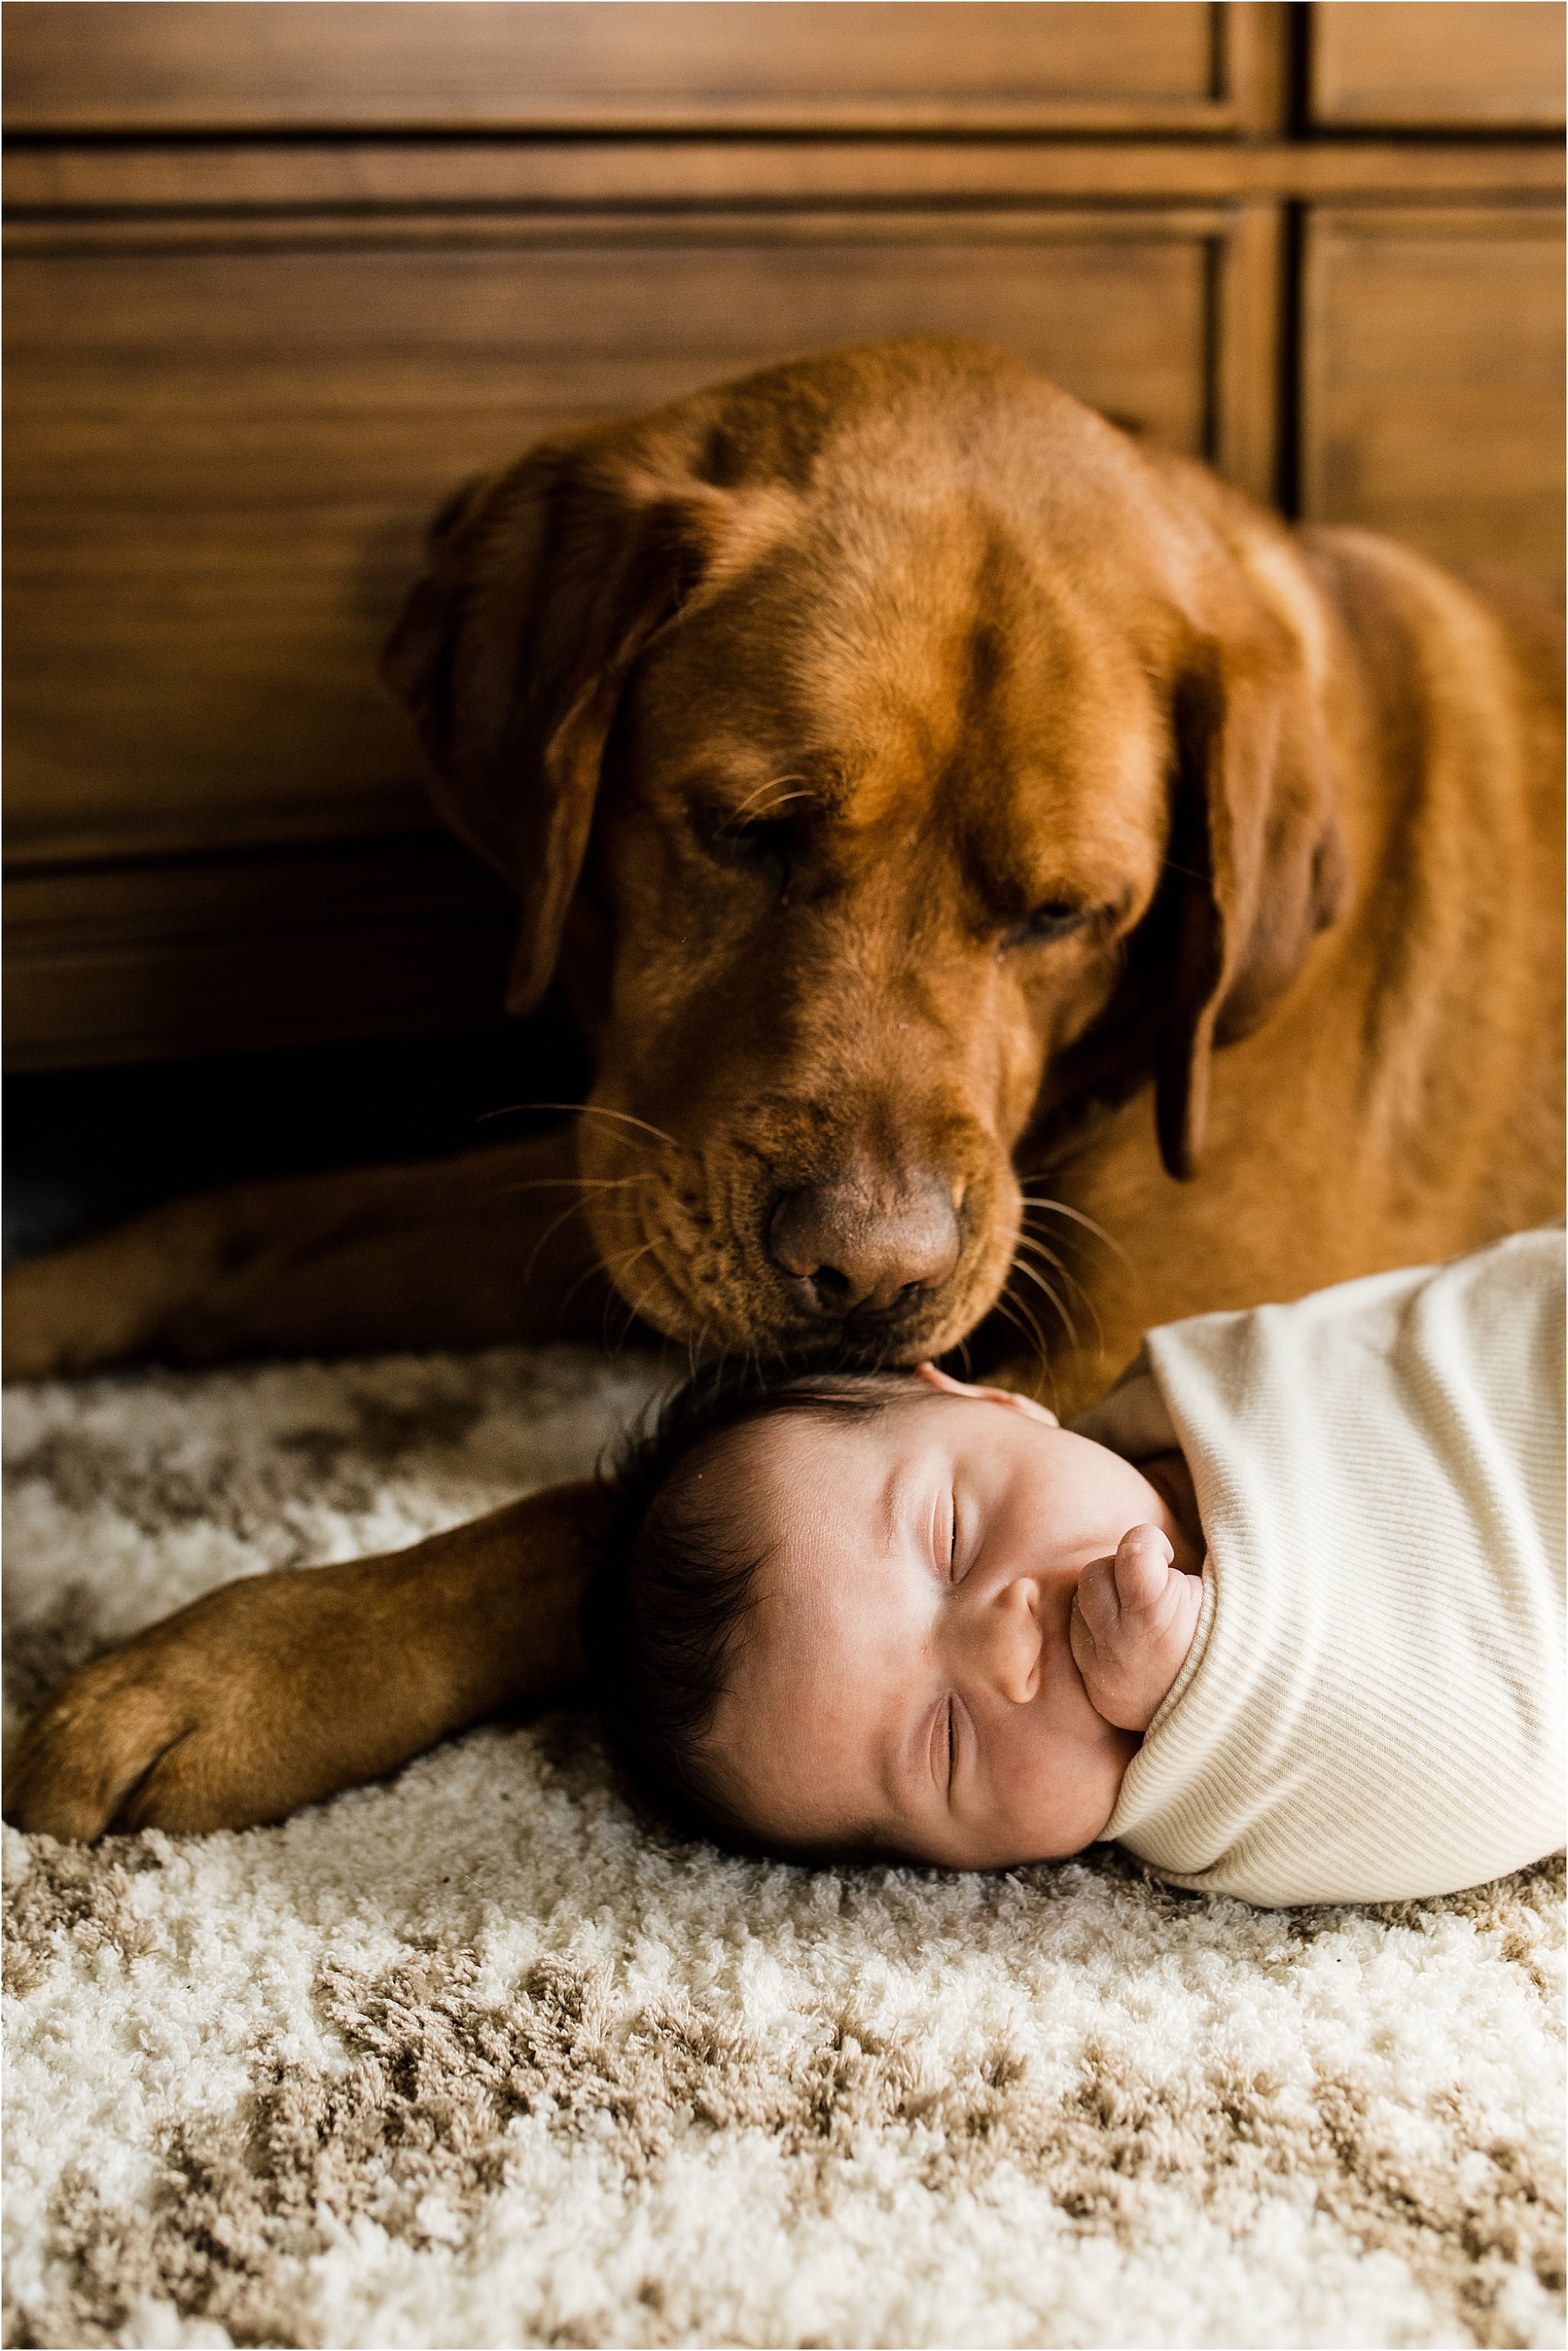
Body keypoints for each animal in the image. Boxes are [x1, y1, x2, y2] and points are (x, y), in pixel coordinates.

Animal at [6, 341, 1560, 1833]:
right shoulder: (629, 1162)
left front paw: (247, 1666)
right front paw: (44, 1301)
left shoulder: (1118, 1339)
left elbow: (568, 1517)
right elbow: (232, 1221)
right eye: (749, 830)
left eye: (1063, 913)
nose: (873, 1275)